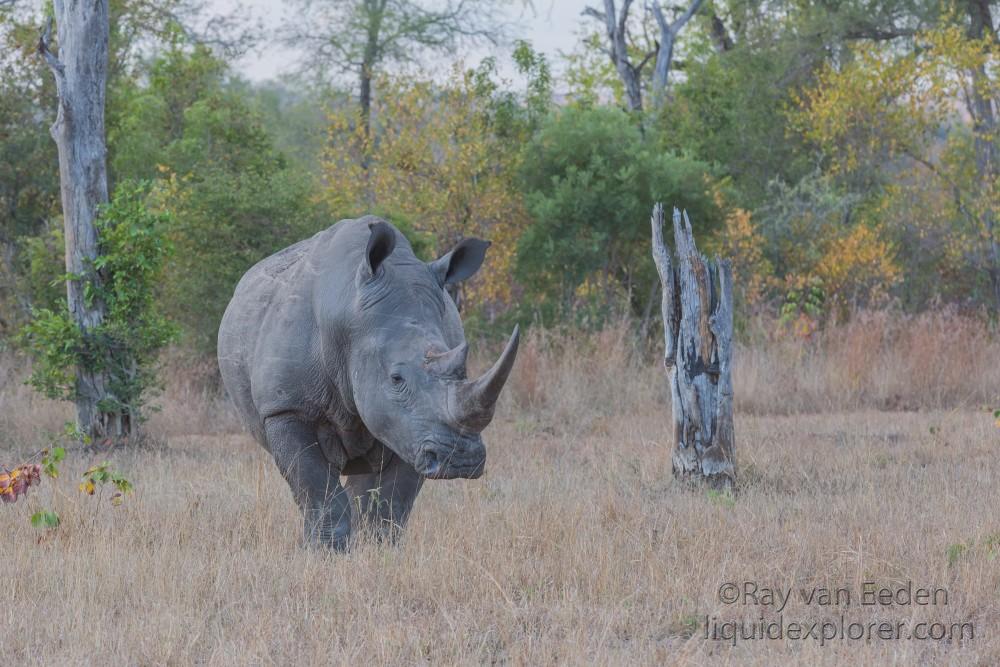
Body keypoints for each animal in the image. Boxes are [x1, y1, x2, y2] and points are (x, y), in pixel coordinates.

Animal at [217, 217, 516, 552]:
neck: (349, 314)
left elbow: (391, 500)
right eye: (396, 379)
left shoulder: (411, 427)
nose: (461, 460)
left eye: (463, 370)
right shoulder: (286, 408)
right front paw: (325, 553)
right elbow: (317, 489)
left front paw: (380, 552)